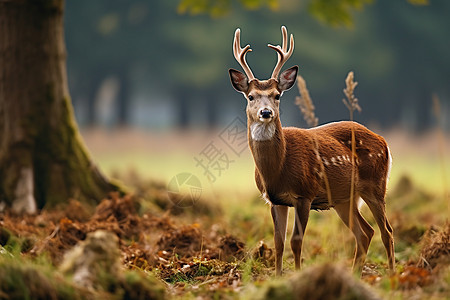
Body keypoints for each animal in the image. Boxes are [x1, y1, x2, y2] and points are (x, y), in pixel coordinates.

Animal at [229, 27, 394, 276]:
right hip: (345, 198)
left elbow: (296, 241)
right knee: (366, 232)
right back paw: (355, 273)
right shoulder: (274, 199)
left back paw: (393, 274)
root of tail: (383, 141)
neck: (278, 169)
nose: (266, 112)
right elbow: (278, 242)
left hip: (376, 185)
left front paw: (297, 274)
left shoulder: (305, 193)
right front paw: (277, 276)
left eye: (277, 95)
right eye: (251, 96)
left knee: (387, 232)